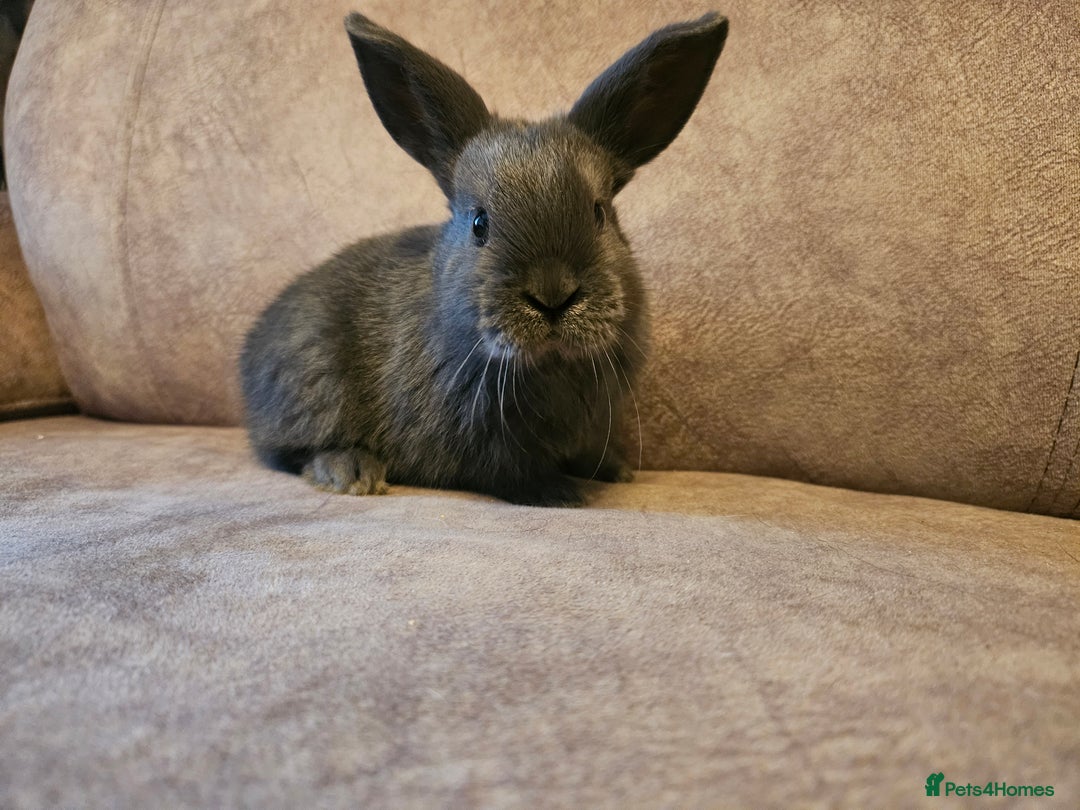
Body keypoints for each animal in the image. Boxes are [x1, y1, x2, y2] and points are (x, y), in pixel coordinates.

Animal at [240, 10, 728, 506]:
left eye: (599, 213)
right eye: (479, 223)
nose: (553, 295)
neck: (549, 363)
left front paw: (615, 470)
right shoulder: (473, 441)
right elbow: (507, 474)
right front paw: (563, 492)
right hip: (314, 386)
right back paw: (352, 470)